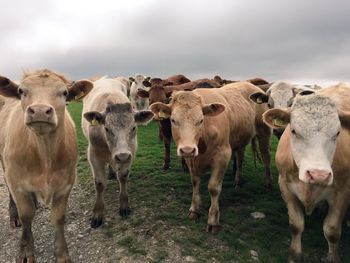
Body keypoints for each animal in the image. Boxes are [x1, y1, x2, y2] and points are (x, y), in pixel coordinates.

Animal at [0, 69, 93, 263]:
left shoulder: (66, 183)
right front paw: (26, 251)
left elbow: (58, 218)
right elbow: (26, 217)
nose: (40, 111)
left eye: (64, 92)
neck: (45, 156)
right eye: (21, 91)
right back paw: (13, 215)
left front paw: (62, 254)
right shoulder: (17, 183)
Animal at [149, 82, 272, 233]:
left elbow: (213, 188)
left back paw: (268, 183)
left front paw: (213, 220)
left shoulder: (223, 156)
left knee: (266, 157)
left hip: (263, 132)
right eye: (173, 120)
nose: (187, 149)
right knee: (240, 157)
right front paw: (194, 209)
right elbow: (195, 182)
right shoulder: (191, 159)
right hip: (240, 138)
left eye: (201, 120)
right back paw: (238, 180)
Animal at [264, 89, 350, 262]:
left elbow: (332, 231)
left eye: (337, 133)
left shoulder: (343, 191)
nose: (318, 175)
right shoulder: (285, 187)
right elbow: (296, 225)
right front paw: (295, 256)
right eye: (294, 131)